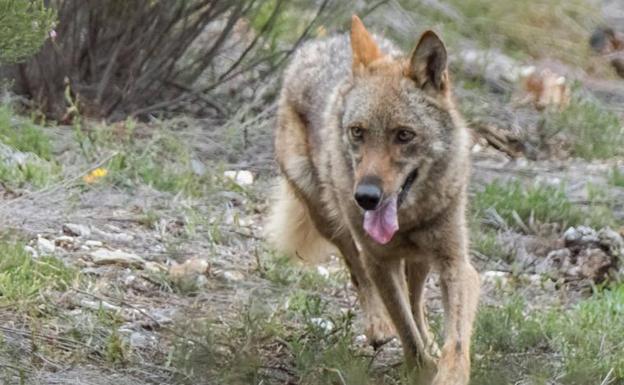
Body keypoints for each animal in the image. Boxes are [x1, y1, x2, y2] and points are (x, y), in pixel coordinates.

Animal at [266, 15, 480, 384]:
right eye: (358, 132)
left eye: (404, 135)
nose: (366, 197)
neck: (409, 219)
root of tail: (322, 43)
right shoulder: (379, 260)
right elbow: (406, 333)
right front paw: (420, 367)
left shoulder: (455, 263)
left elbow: (453, 343)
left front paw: (444, 368)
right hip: (329, 218)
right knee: (358, 271)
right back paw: (379, 327)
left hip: (421, 260)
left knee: (416, 300)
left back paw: (429, 339)